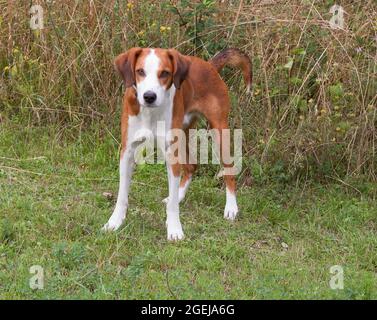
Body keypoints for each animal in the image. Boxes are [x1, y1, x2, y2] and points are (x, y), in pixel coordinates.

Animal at [101, 47, 251, 240]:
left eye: (165, 73)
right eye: (140, 71)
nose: (149, 96)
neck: (151, 113)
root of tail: (209, 65)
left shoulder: (171, 154)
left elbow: (172, 206)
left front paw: (174, 229)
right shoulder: (127, 151)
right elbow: (121, 196)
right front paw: (114, 222)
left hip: (219, 132)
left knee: (228, 170)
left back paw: (231, 208)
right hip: (184, 135)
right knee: (191, 166)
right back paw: (179, 195)